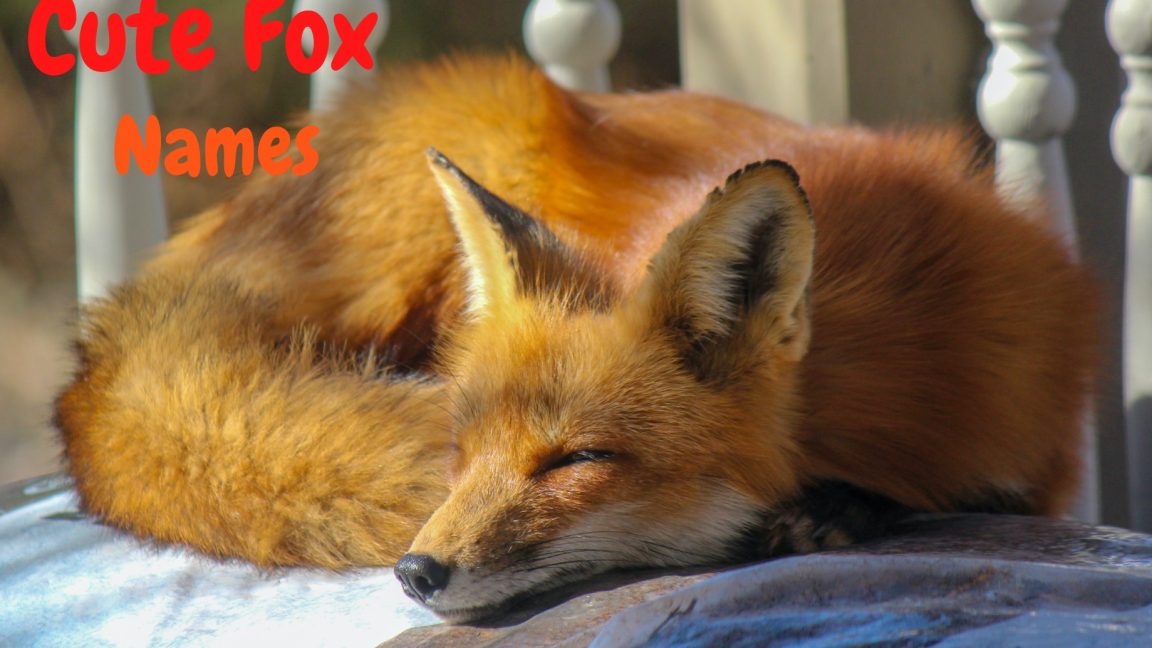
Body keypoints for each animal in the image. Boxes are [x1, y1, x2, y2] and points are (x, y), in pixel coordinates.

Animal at [54, 55, 1099, 622]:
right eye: (463, 449)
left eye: (574, 461)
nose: (414, 573)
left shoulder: (1033, 448)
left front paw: (843, 510)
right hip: (488, 128)